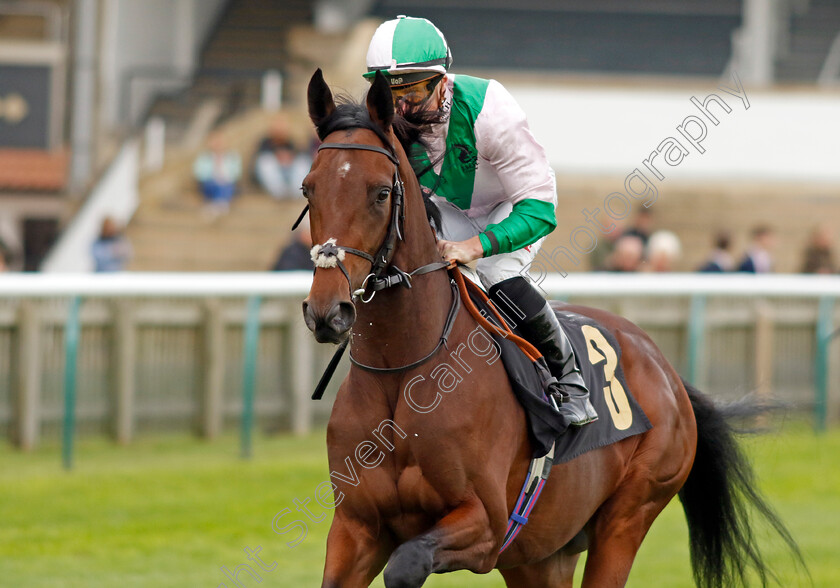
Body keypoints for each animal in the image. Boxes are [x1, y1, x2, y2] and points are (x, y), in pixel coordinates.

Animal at [302, 70, 800, 588]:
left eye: (381, 192)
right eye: (308, 189)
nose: (328, 311)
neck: (403, 371)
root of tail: (666, 370)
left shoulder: (485, 525)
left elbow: (406, 563)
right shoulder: (356, 526)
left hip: (629, 514)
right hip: (541, 553)